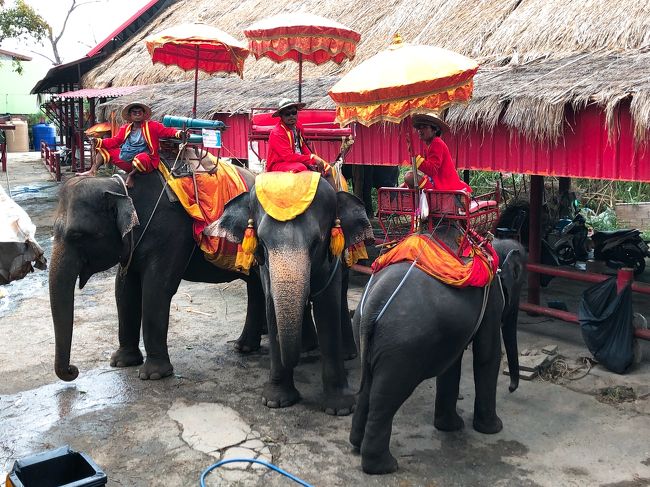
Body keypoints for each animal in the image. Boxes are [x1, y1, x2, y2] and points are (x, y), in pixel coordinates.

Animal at [49, 170, 264, 384]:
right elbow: (124, 290)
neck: (122, 188)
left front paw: (153, 375)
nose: (73, 370)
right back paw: (247, 345)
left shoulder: (172, 234)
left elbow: (156, 289)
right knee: (257, 287)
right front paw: (121, 362)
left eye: (77, 236)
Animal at [215, 175, 372, 416]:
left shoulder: (330, 263)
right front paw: (276, 402)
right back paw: (307, 346)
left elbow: (328, 307)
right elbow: (271, 307)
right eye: (263, 243)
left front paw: (340, 409)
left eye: (316, 243)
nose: (294, 362)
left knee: (342, 295)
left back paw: (346, 354)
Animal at [346, 238, 524, 474]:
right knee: (386, 396)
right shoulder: (492, 298)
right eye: (520, 281)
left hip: (365, 333)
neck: (492, 246)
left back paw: (357, 445)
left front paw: (451, 427)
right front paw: (494, 428)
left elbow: (453, 363)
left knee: (368, 386)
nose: (512, 388)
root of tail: (375, 302)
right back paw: (384, 466)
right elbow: (487, 355)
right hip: (401, 350)